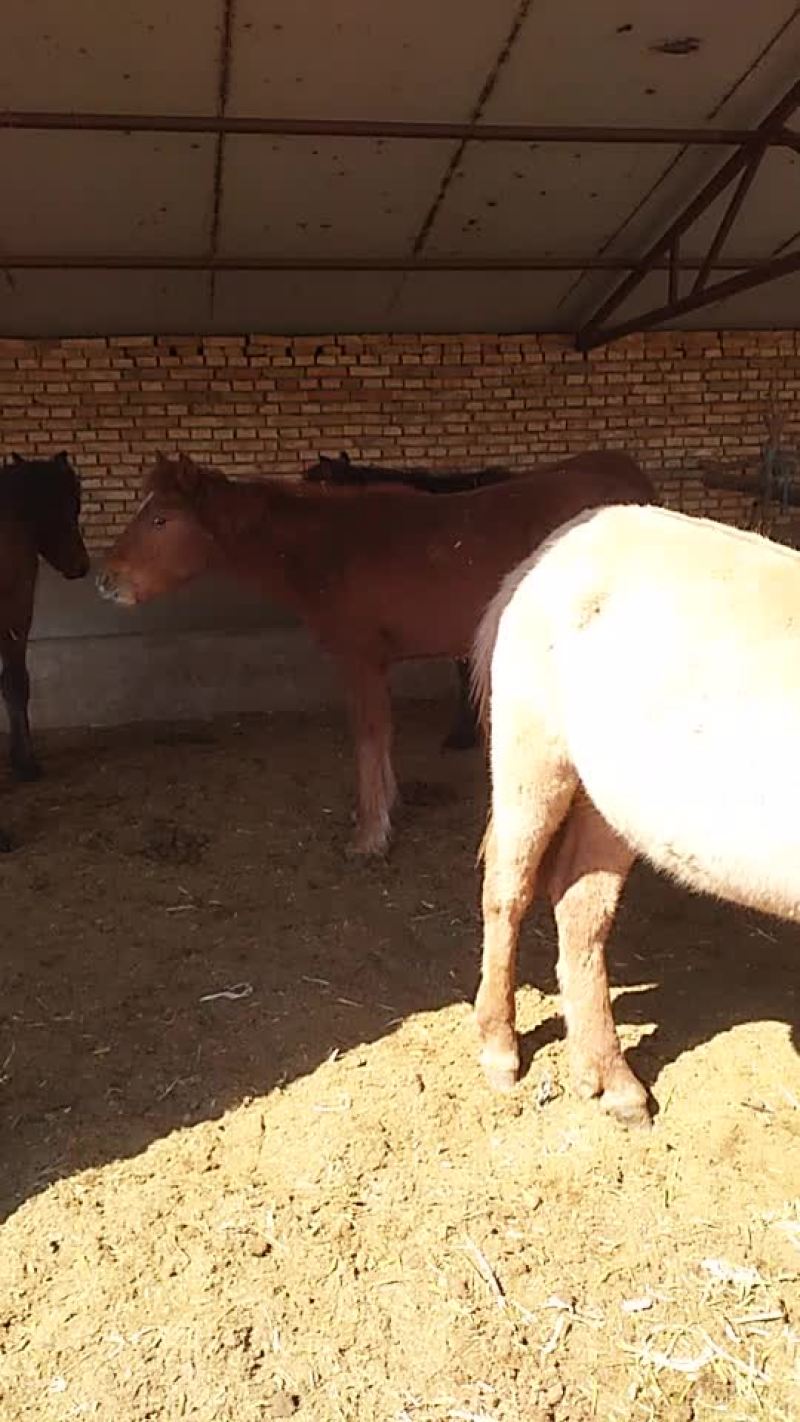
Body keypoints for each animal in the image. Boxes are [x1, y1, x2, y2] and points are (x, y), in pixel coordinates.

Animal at [471, 501, 800, 1128]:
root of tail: (552, 549)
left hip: (611, 802)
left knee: (580, 907)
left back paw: (610, 1084)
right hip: (532, 752)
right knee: (508, 890)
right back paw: (500, 1052)